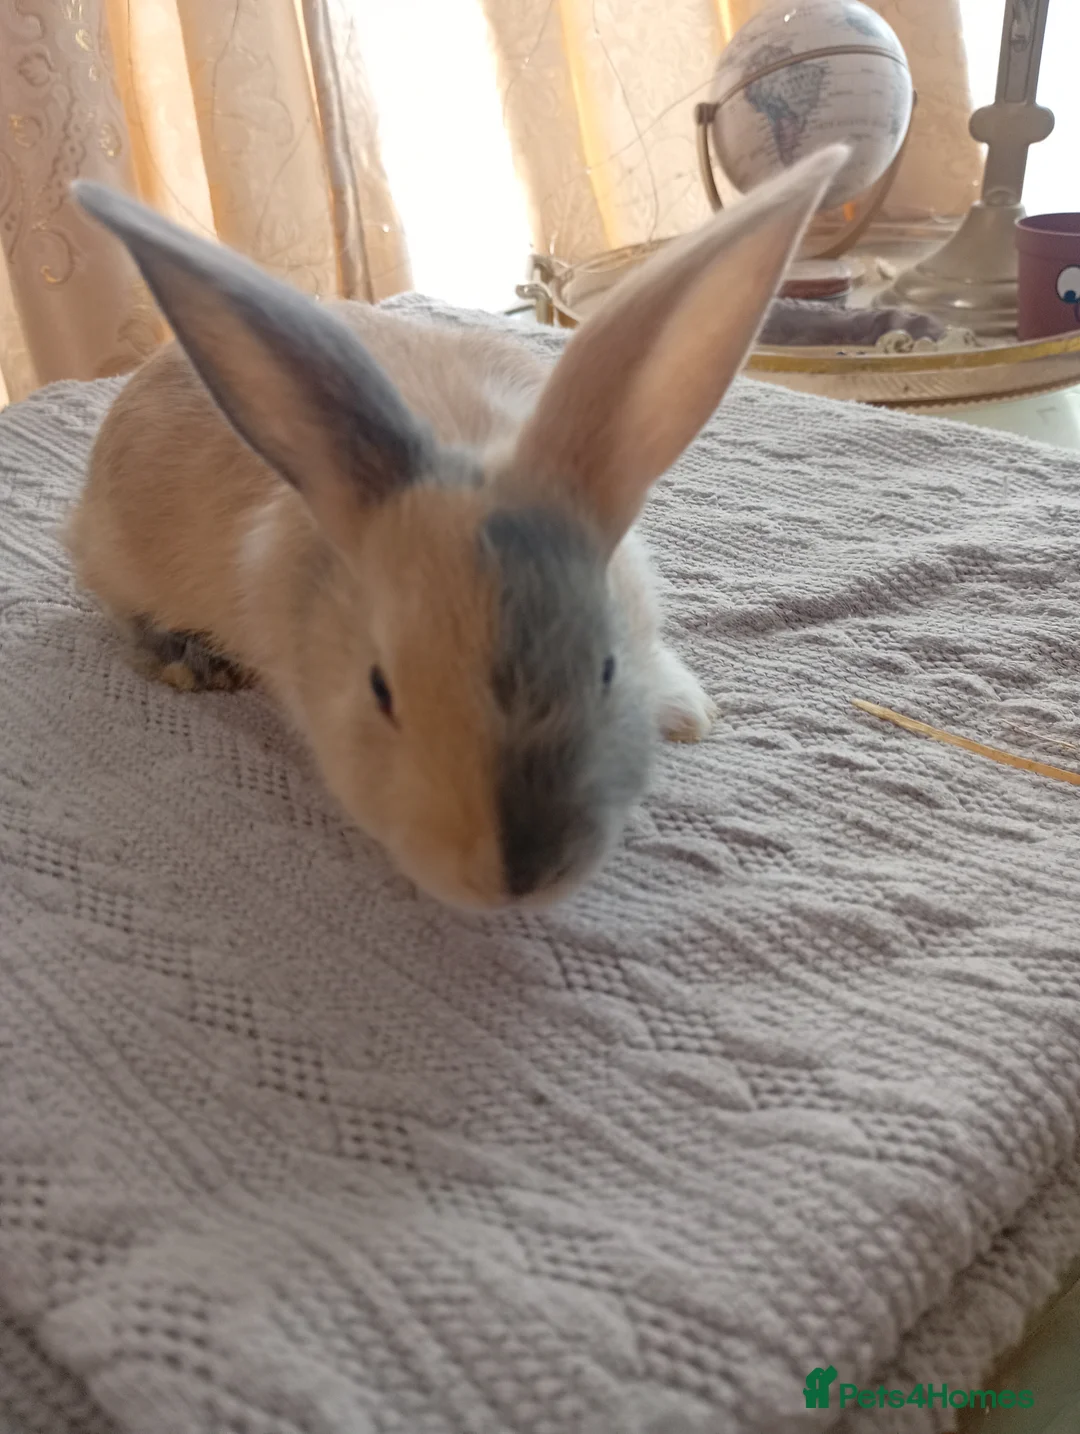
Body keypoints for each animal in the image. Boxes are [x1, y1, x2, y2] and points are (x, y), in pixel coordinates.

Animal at [65, 142, 847, 911]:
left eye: (606, 669)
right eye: (380, 688)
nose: (517, 879)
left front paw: (687, 714)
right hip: (114, 557)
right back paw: (190, 660)